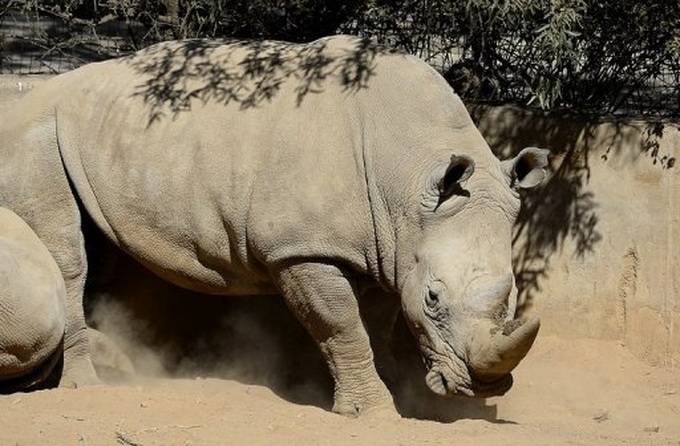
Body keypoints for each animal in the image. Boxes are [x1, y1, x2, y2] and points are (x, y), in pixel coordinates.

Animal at [0, 35, 548, 415]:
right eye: (434, 298)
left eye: (515, 295)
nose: (482, 386)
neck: (410, 175)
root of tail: (22, 99)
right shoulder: (303, 248)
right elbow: (342, 325)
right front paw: (372, 412)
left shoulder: (383, 243)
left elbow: (376, 320)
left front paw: (399, 393)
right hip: (36, 132)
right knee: (67, 259)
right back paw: (87, 386)